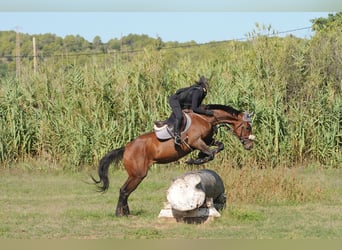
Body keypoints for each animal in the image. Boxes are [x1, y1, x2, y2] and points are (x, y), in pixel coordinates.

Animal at [91, 104, 254, 216]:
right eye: (247, 127)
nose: (250, 145)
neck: (205, 118)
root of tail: (126, 148)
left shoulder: (207, 140)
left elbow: (219, 146)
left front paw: (200, 157)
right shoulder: (196, 141)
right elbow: (211, 153)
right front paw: (195, 160)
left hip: (136, 175)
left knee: (125, 191)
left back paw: (125, 213)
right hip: (137, 174)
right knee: (124, 191)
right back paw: (120, 213)